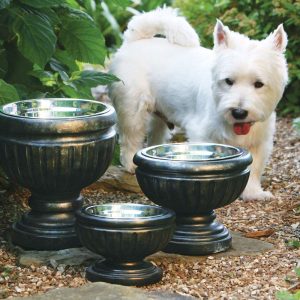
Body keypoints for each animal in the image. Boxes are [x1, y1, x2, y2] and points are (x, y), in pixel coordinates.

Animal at [108, 7, 288, 200]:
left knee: (155, 134)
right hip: (132, 108)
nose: (239, 112)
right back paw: (130, 163)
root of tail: (134, 40)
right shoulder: (201, 134)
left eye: (259, 84)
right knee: (130, 137)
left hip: (159, 113)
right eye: (228, 81)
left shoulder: (259, 143)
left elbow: (254, 169)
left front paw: (253, 193)